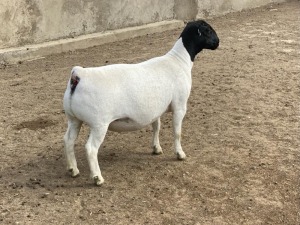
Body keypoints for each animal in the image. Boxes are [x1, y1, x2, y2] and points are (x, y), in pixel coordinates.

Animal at [63, 19, 219, 185]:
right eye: (208, 30)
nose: (218, 42)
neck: (179, 60)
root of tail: (78, 76)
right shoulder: (180, 105)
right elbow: (177, 132)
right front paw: (180, 154)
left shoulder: (156, 110)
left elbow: (156, 127)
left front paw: (156, 148)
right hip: (99, 123)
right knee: (91, 148)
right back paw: (97, 178)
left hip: (74, 119)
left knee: (68, 140)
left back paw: (73, 170)